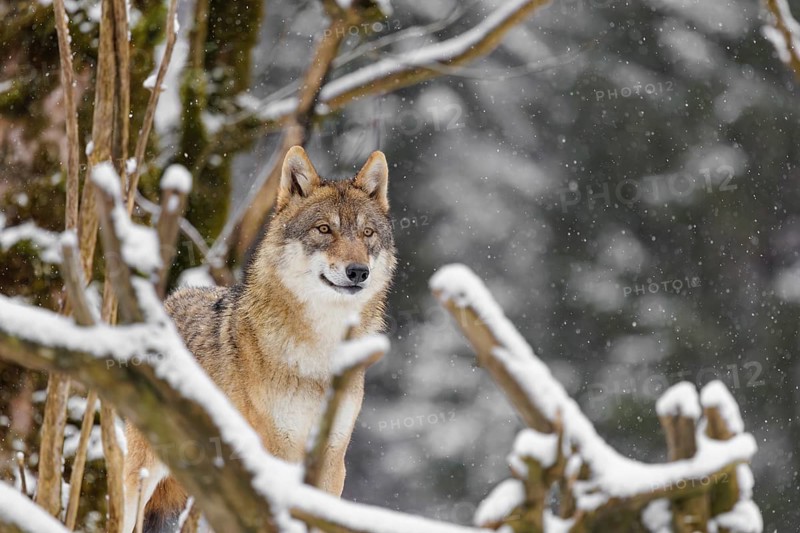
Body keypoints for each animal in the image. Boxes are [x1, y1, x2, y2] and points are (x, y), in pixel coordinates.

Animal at [122, 146, 396, 533]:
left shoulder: (331, 460)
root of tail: (170, 301)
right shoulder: (277, 452)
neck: (320, 353)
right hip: (143, 478)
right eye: (324, 229)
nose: (358, 272)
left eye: (367, 233)